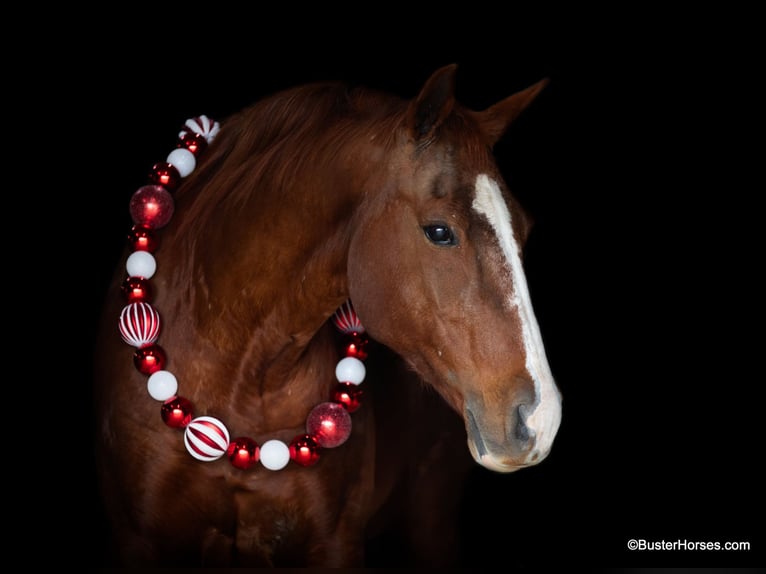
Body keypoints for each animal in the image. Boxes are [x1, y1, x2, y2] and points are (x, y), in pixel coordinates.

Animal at [94, 63, 564, 568]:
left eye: (525, 229)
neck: (239, 374)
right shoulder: (138, 540)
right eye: (439, 231)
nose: (540, 419)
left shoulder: (335, 542)